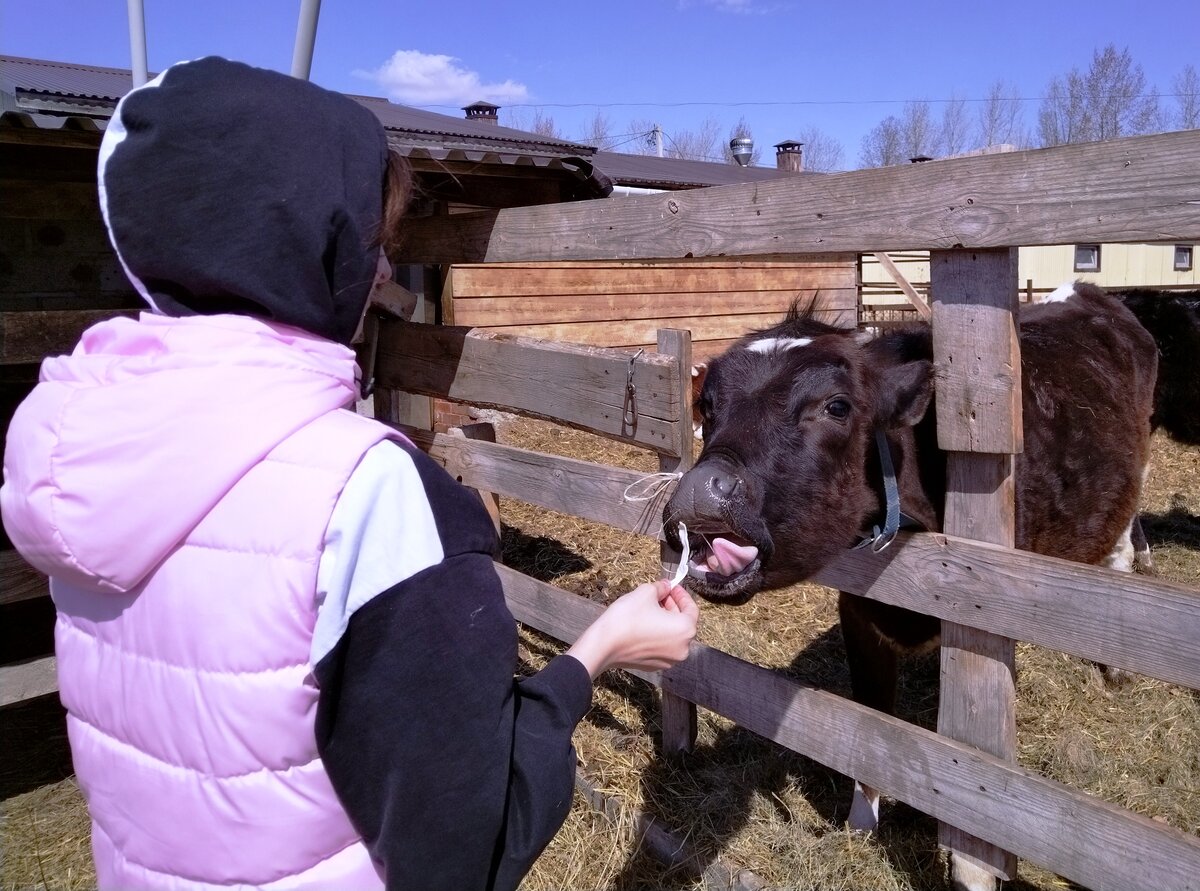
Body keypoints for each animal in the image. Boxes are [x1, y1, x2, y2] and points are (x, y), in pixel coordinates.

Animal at [662, 280, 1156, 845]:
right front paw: (861, 823)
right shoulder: (857, 610)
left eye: (837, 407)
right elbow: (872, 716)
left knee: (1120, 552)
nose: (700, 492)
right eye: (708, 405)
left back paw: (1117, 667)